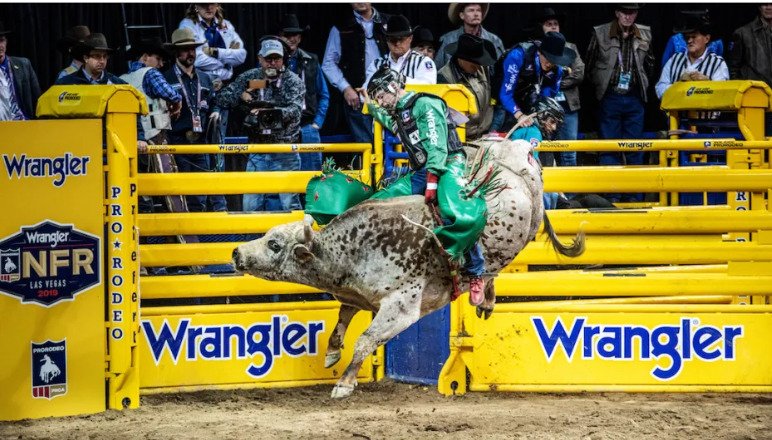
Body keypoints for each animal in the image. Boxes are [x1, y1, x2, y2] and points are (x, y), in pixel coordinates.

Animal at [232, 138, 584, 398]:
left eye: (275, 244)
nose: (237, 252)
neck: (352, 249)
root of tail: (515, 149)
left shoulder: (400, 308)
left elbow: (365, 340)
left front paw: (344, 384)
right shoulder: (358, 295)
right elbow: (343, 317)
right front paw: (332, 352)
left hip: (530, 216)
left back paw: (482, 290)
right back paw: (485, 297)